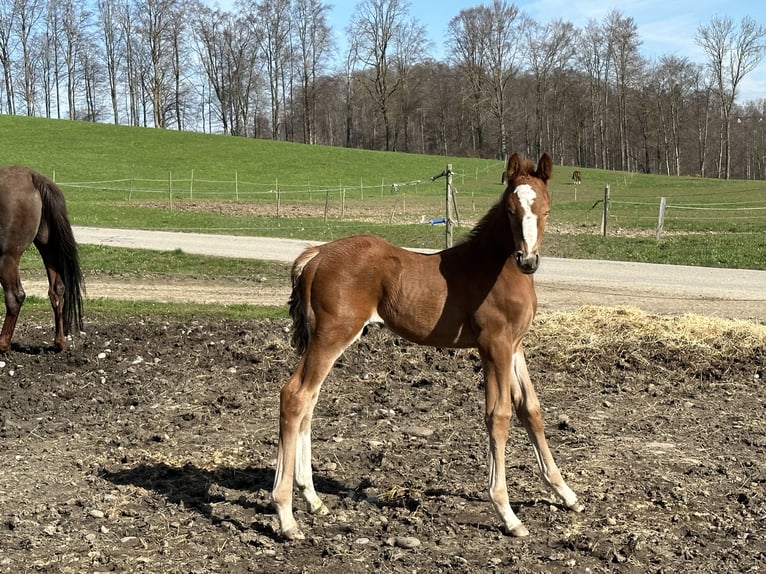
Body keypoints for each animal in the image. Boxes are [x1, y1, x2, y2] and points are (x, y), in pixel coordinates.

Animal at [0, 166, 84, 354]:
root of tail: (32, 177)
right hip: (48, 248)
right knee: (57, 290)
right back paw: (59, 342)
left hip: (7, 256)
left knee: (15, 297)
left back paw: (2, 344)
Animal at [272, 152, 584, 540]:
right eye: (511, 209)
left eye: (546, 210)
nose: (527, 261)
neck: (495, 269)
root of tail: (314, 256)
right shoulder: (493, 345)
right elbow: (498, 416)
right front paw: (507, 513)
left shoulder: (515, 345)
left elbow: (531, 409)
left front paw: (566, 494)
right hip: (332, 334)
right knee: (295, 395)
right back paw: (286, 517)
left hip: (323, 338)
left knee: (309, 401)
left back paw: (313, 500)